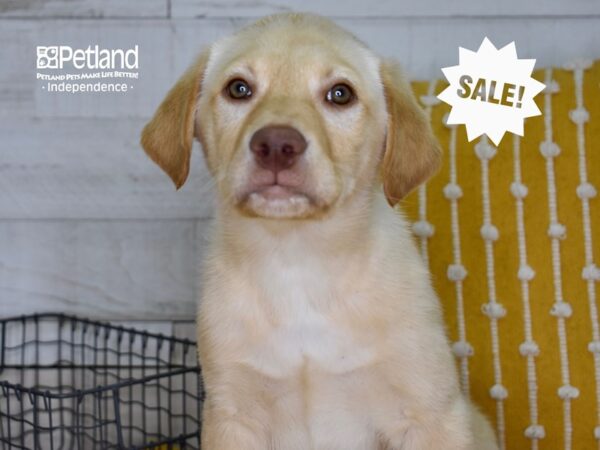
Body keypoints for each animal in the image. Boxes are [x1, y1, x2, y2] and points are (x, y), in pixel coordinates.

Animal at [141, 12, 496, 448]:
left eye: (340, 95)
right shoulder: (233, 414)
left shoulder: (430, 414)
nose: (277, 145)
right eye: (238, 89)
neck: (299, 260)